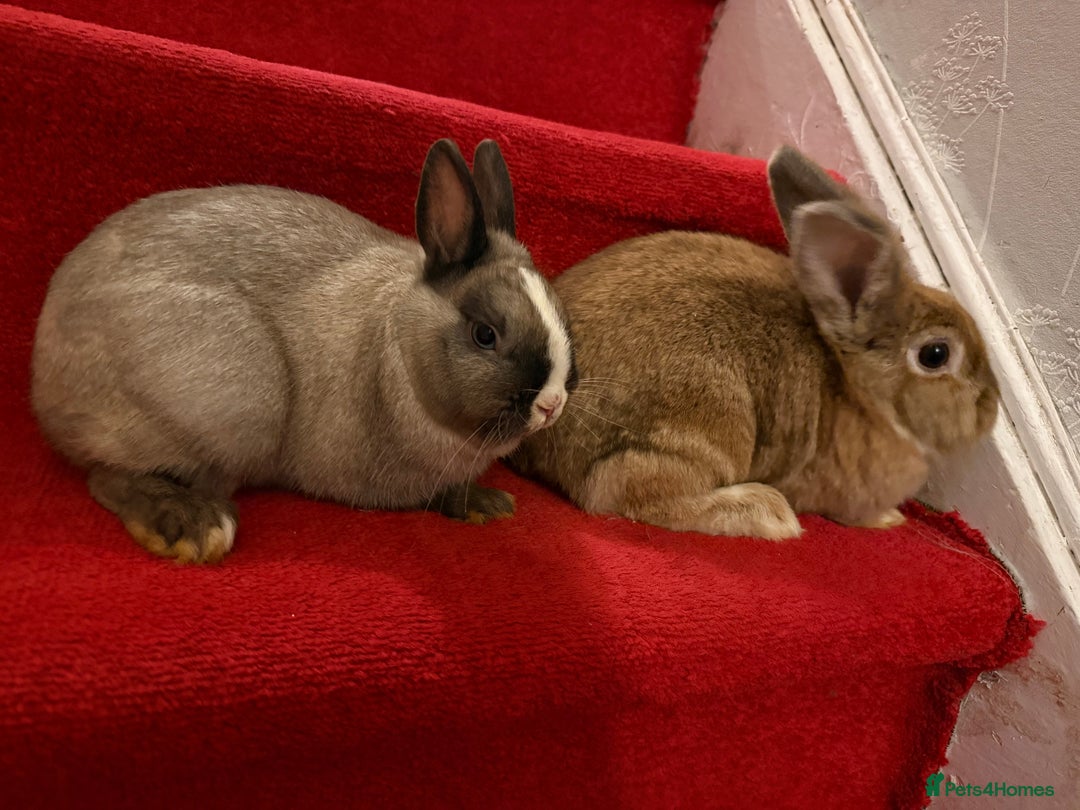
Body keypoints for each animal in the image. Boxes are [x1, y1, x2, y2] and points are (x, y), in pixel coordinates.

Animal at [31, 138, 577, 563]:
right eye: (485, 334)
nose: (552, 404)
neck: (395, 347)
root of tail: (43, 365)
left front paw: (487, 505)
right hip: (235, 401)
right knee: (108, 475)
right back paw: (193, 525)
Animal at [509, 145, 999, 540]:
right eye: (936, 355)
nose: (990, 409)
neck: (862, 396)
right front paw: (890, 520)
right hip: (707, 425)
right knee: (623, 491)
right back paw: (768, 514)